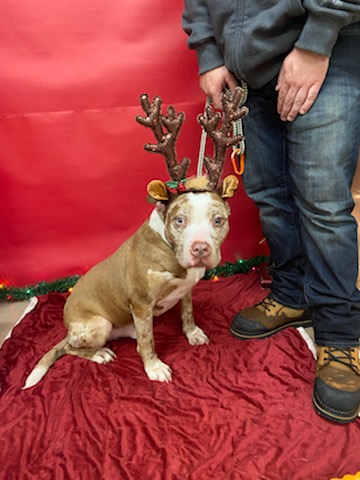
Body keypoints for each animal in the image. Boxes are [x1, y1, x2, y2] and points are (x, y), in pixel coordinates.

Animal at [22, 88, 248, 388]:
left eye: (218, 220)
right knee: (72, 348)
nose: (200, 248)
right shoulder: (141, 305)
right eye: (179, 220)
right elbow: (148, 341)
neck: (168, 249)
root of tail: (68, 325)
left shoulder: (186, 289)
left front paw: (192, 333)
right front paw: (154, 368)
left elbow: (187, 313)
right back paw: (99, 354)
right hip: (98, 324)